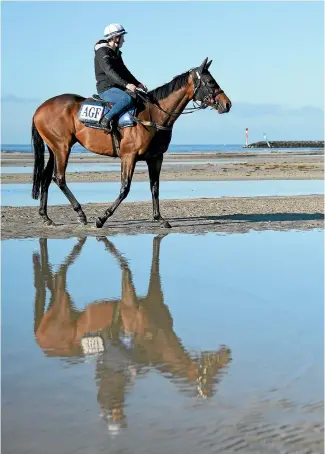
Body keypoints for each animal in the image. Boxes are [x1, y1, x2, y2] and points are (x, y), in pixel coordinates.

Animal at [31, 58, 230, 229]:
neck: (153, 115)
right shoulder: (128, 156)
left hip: (54, 149)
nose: (227, 104)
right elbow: (125, 188)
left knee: (46, 178)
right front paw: (102, 218)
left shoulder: (156, 158)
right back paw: (80, 213)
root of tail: (40, 109)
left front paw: (159, 218)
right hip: (62, 148)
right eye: (210, 82)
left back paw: (45, 216)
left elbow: (155, 187)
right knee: (59, 178)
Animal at [33, 238, 230, 426]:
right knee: (59, 274)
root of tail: (40, 340)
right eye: (213, 375)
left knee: (50, 278)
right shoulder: (130, 299)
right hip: (62, 302)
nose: (227, 353)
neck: (154, 341)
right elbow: (127, 267)